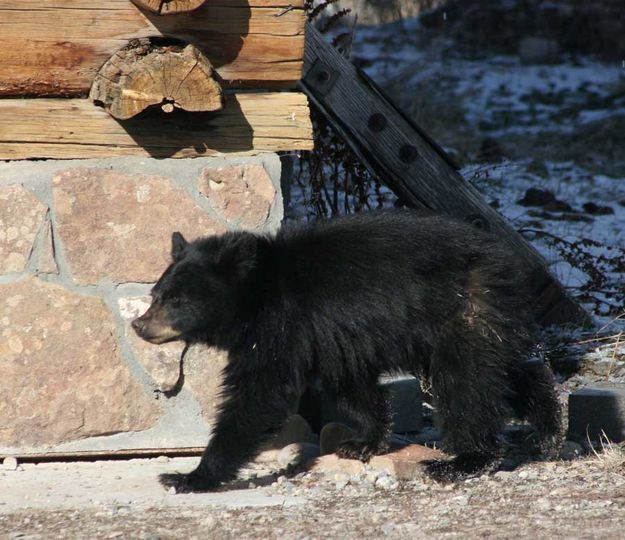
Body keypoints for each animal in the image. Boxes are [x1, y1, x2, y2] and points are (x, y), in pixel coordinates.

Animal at [133, 209, 560, 492]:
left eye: (177, 300)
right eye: (157, 294)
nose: (139, 325)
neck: (257, 295)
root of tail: (505, 262)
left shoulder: (284, 326)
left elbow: (259, 396)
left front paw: (188, 476)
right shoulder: (330, 336)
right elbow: (350, 382)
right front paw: (363, 441)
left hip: (461, 310)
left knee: (466, 382)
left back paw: (464, 461)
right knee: (498, 371)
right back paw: (548, 426)